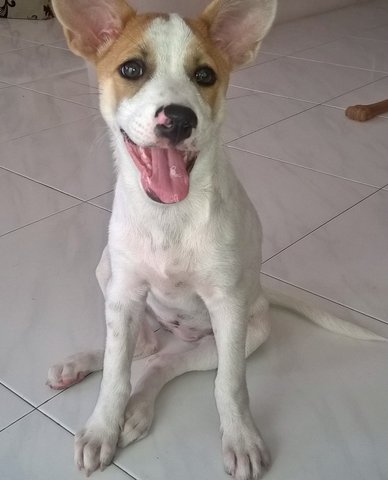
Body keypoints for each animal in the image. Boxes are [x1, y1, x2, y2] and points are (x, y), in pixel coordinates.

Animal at [48, 0, 384, 478]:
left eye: (205, 75)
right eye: (131, 69)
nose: (178, 118)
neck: (170, 215)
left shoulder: (227, 307)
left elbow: (231, 385)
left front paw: (241, 439)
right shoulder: (125, 293)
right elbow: (115, 373)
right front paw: (101, 429)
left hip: (243, 332)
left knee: (163, 360)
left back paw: (138, 410)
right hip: (107, 272)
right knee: (142, 348)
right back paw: (79, 367)